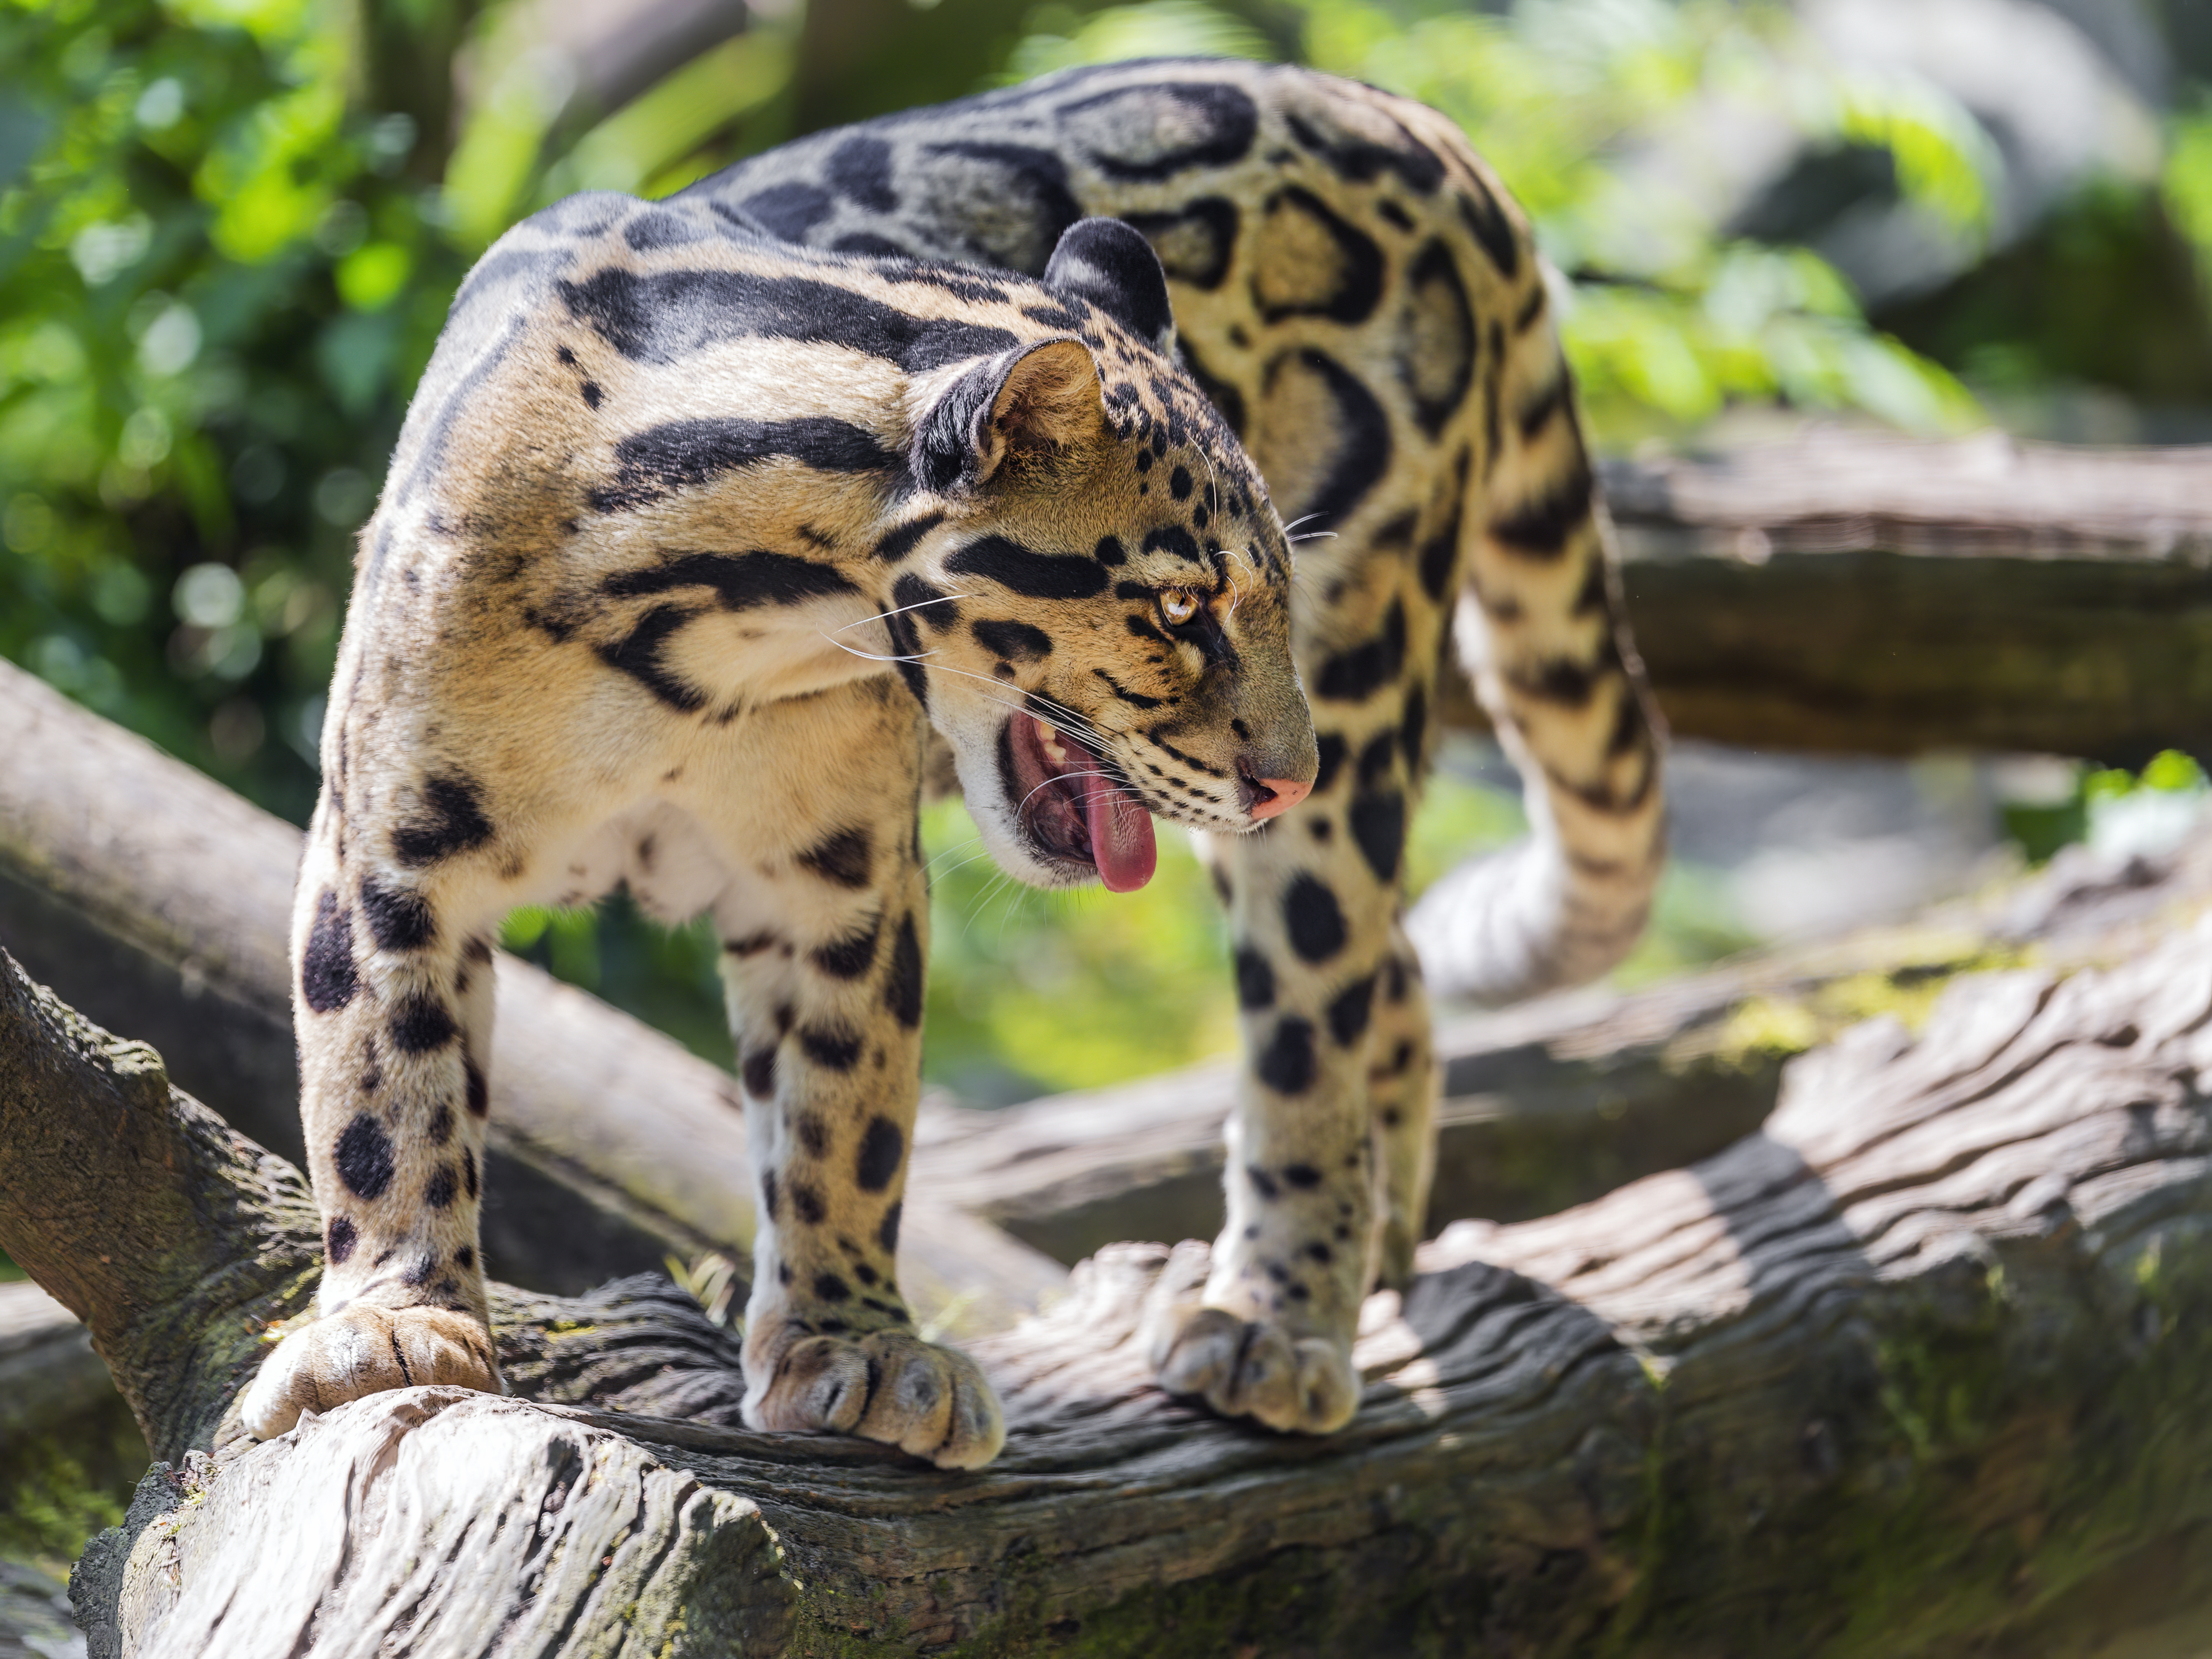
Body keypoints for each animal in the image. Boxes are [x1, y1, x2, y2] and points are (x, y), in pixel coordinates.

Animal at [241, 58, 1664, 1470]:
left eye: (1263, 593)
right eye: (1178, 607)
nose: (1285, 773)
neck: (711, 636)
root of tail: (1402, 117)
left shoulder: (840, 876)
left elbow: (844, 1108)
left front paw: (855, 1344)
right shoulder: (390, 846)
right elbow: (381, 1090)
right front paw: (394, 1319)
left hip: (1367, 679)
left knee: (1319, 1004)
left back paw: (1278, 1318)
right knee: (1392, 985)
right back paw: (1369, 1259)